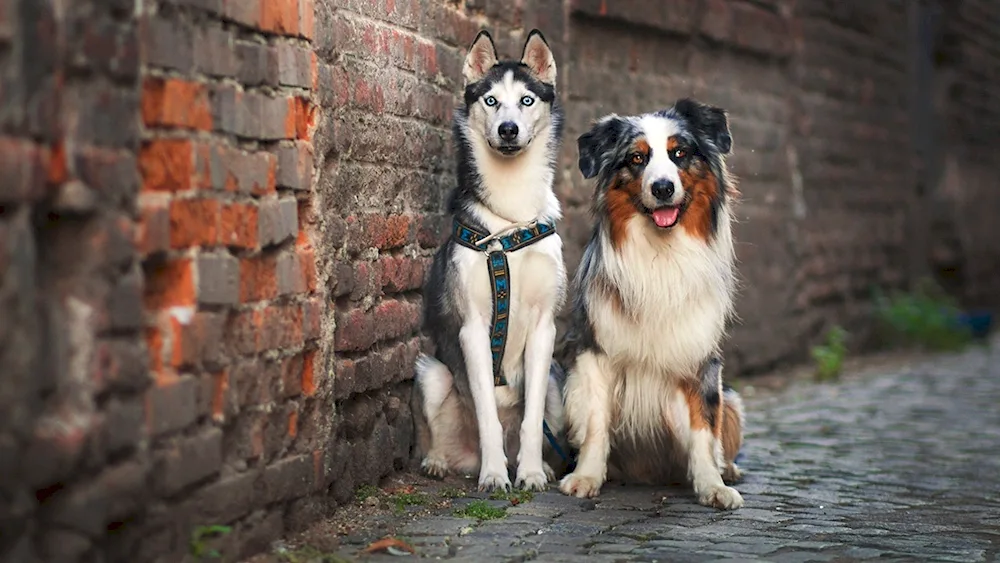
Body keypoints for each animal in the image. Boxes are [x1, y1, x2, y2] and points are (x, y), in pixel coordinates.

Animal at [412, 28, 572, 492]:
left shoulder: (544, 328)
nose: (508, 129)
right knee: (436, 435)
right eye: (490, 100)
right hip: (431, 372)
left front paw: (532, 473)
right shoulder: (473, 329)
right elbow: (487, 416)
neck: (511, 220)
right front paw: (495, 475)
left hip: (558, 379)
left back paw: (542, 466)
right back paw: (440, 463)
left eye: (527, 100)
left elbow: (531, 420)